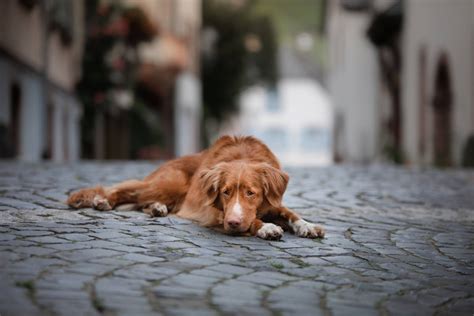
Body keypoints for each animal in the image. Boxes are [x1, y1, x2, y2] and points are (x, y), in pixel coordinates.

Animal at [67, 135, 326, 241]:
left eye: (251, 193)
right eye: (225, 192)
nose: (233, 223)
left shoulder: (273, 202)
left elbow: (291, 213)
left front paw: (307, 226)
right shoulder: (213, 212)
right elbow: (252, 220)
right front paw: (266, 227)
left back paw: (157, 209)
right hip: (168, 184)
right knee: (126, 190)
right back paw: (103, 201)